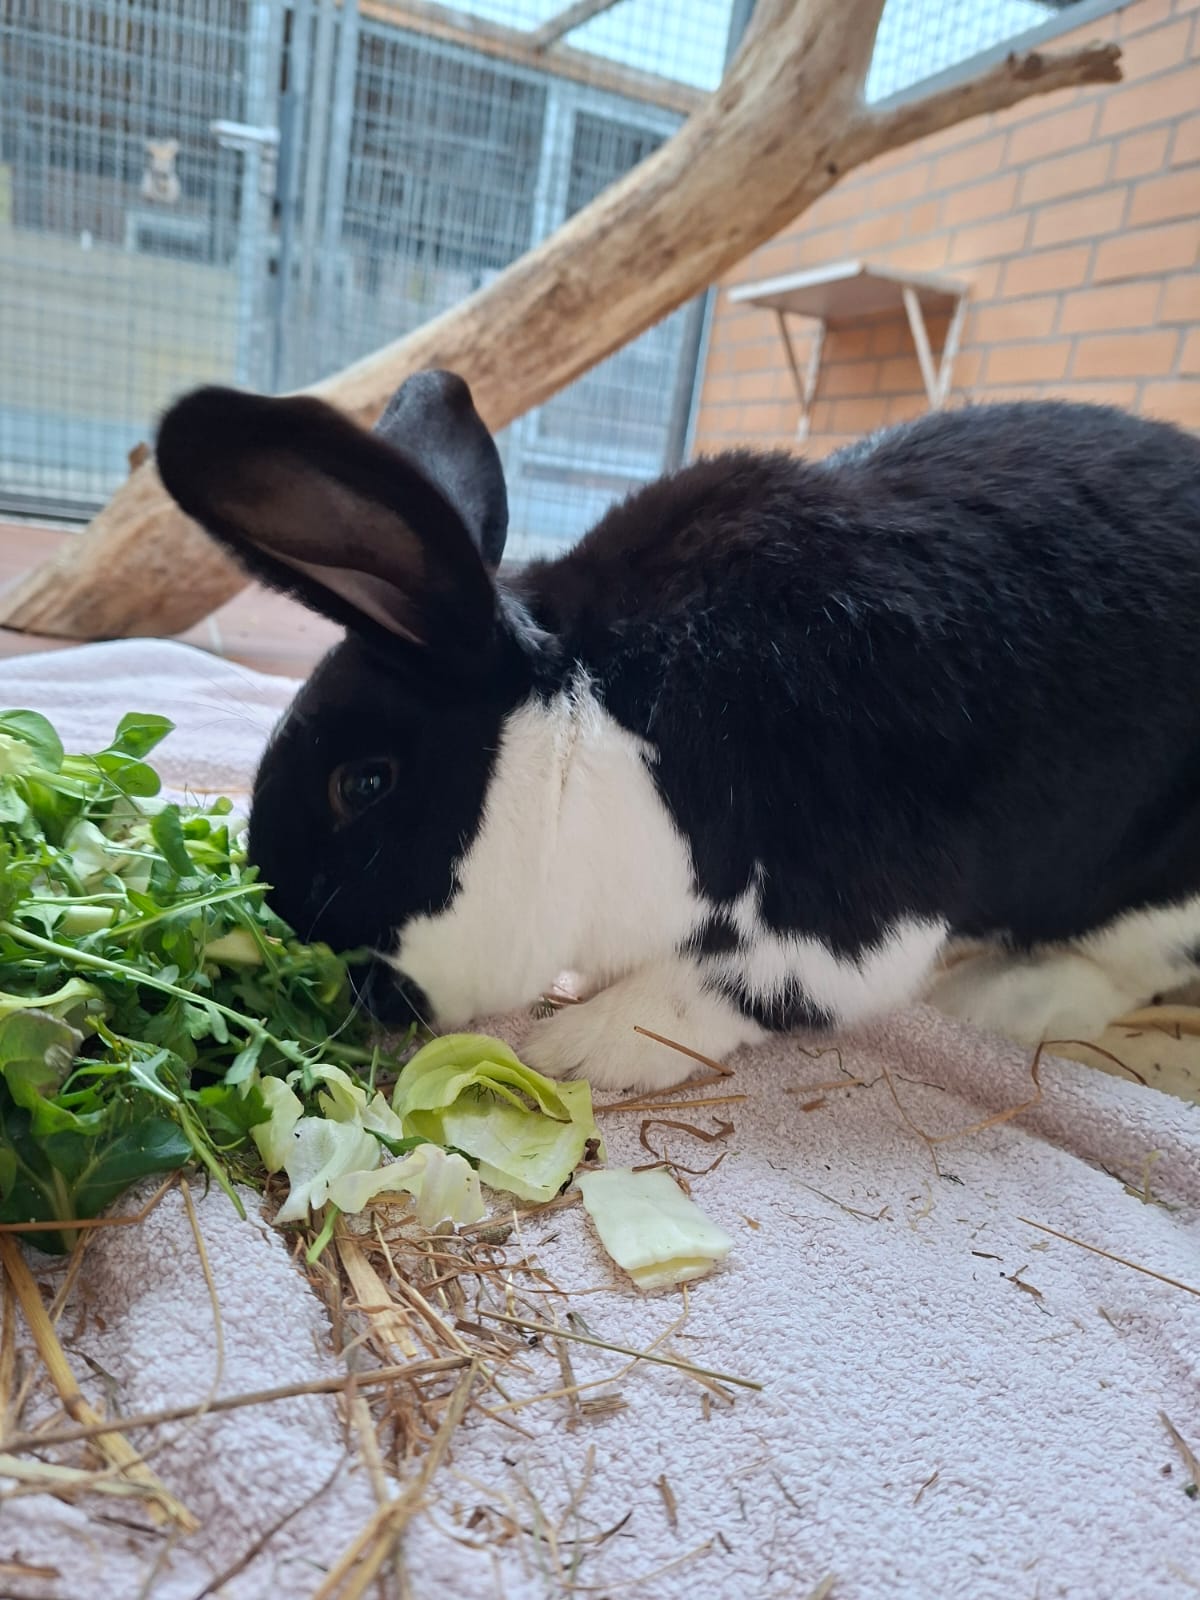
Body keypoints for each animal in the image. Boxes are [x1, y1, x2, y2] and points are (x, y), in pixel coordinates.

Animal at [154, 372, 1200, 1092]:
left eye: (363, 784)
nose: (316, 965)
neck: (599, 731)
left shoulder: (848, 913)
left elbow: (735, 989)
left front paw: (583, 1045)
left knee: (1123, 966)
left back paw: (997, 998)